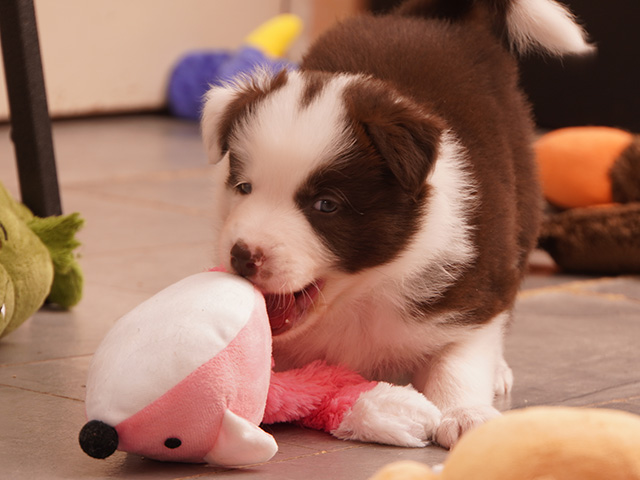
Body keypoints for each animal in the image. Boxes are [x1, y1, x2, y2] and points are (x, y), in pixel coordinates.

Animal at [200, 0, 592, 448]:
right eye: (244, 187)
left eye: (326, 205)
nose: (242, 256)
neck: (360, 295)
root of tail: (431, 17)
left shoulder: (473, 288)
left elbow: (460, 357)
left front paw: (464, 413)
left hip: (521, 201)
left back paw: (499, 371)